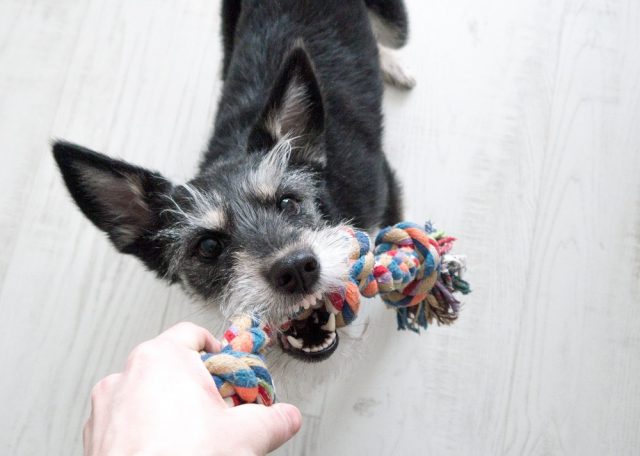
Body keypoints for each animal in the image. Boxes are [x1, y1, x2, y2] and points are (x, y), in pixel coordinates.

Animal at [56, 0, 416, 364]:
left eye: (288, 202)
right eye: (208, 246)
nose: (296, 268)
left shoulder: (386, 186)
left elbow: (392, 237)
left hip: (396, 24)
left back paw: (392, 65)